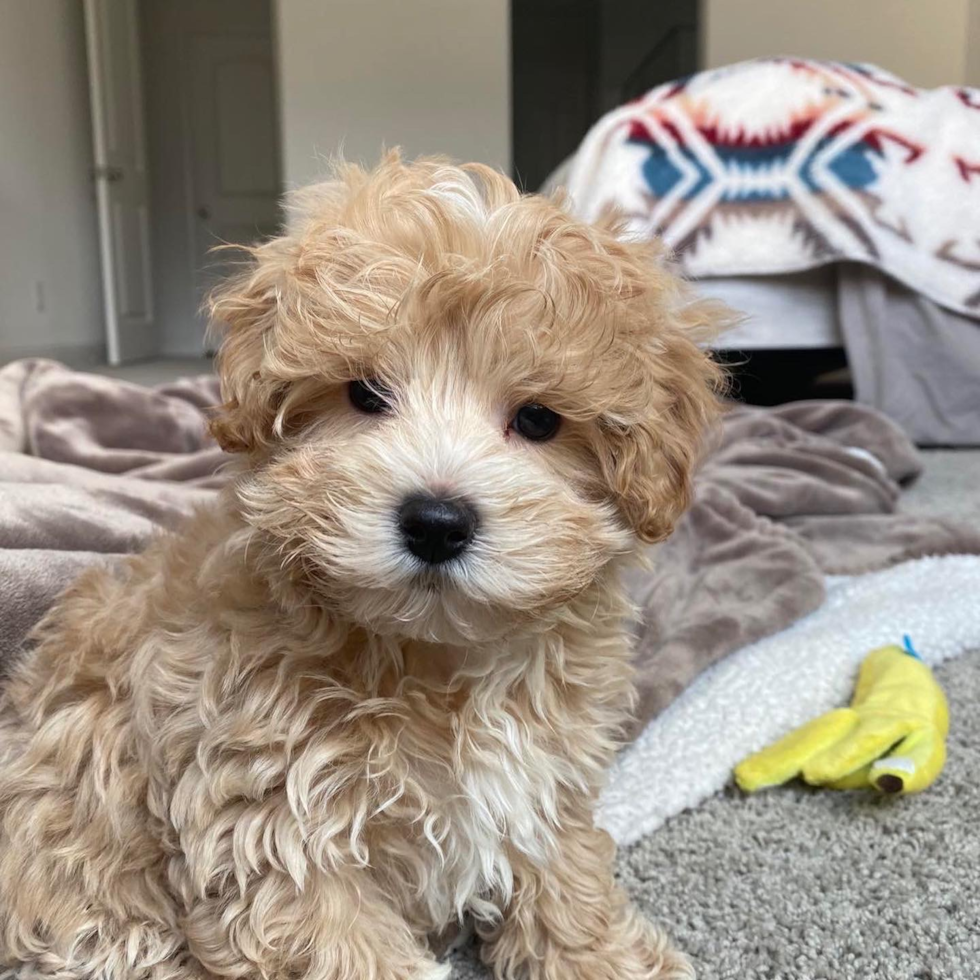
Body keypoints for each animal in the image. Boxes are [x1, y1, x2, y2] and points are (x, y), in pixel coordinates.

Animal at [0, 153, 720, 980]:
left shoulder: (540, 785)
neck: (437, 665)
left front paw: (605, 956)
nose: (436, 522)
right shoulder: (274, 828)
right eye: (364, 394)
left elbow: (566, 884)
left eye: (539, 419)